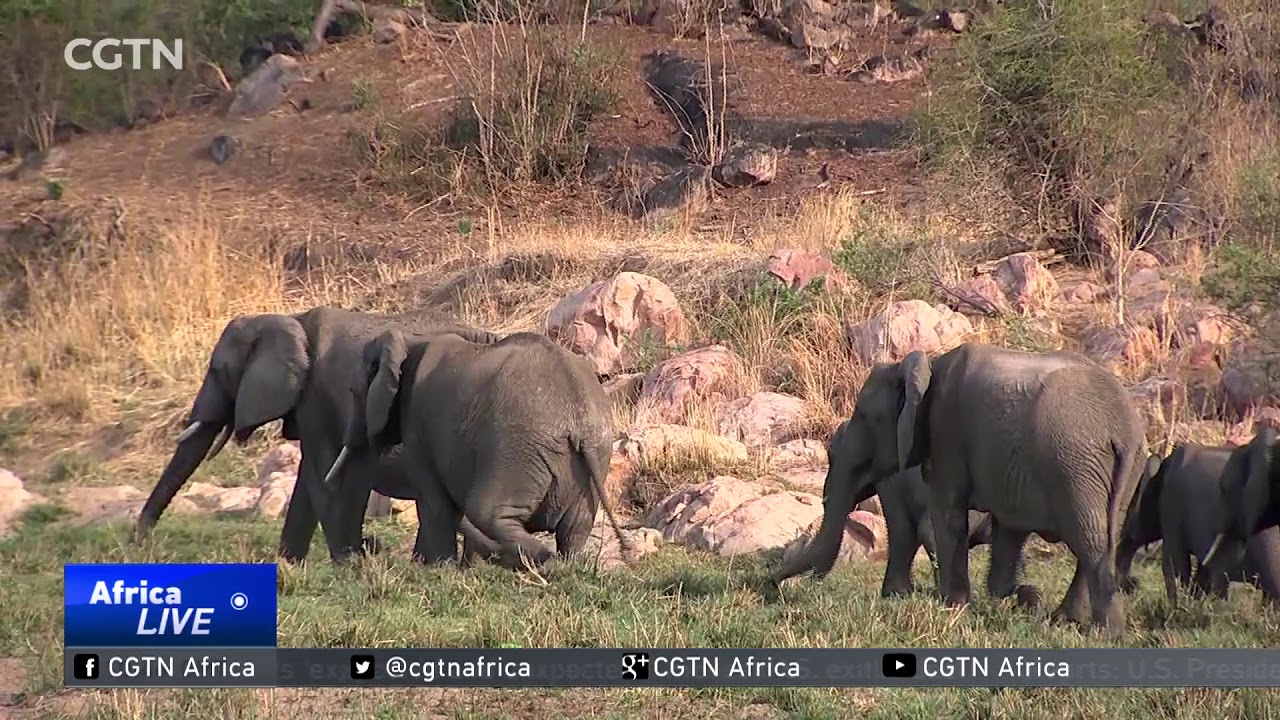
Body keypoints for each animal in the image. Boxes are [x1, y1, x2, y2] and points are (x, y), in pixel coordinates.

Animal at [133, 306, 502, 563]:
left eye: (219, 371)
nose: (142, 542)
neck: (289, 319)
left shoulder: (317, 396)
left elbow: (323, 472)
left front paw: (350, 563)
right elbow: (308, 479)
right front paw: (289, 564)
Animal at [323, 328, 630, 568]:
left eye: (353, 392)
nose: (364, 548)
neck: (412, 339)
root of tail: (578, 414)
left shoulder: (418, 423)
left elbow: (434, 501)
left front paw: (435, 569)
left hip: (518, 448)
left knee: (486, 512)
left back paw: (541, 559)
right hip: (594, 455)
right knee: (575, 527)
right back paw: (561, 564)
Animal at [772, 343, 1148, 638]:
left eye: (864, 416)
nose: (773, 585)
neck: (923, 365)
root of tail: (1123, 428)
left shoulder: (946, 431)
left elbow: (945, 517)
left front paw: (952, 608)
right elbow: (1006, 527)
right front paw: (1000, 601)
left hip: (1073, 465)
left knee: (1090, 542)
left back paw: (1104, 633)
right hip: (1118, 470)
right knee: (1101, 540)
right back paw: (1065, 621)